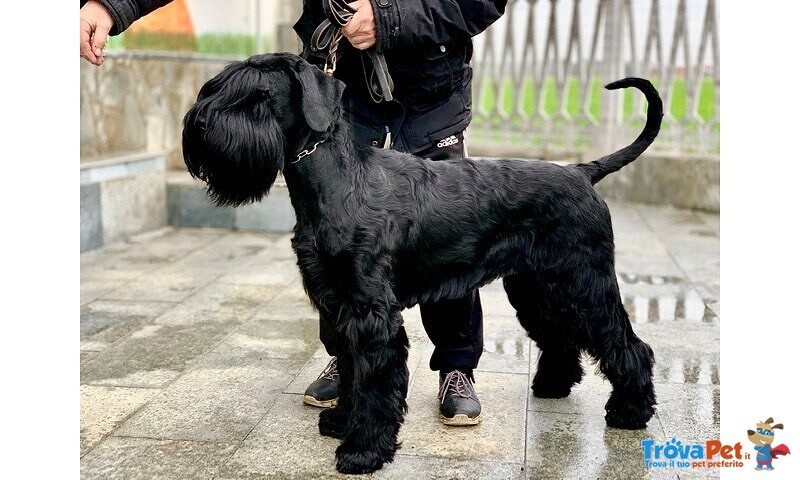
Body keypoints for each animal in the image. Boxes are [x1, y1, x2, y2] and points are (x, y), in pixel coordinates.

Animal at [181, 52, 664, 472]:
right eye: (218, 86)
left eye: (259, 96)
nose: (199, 123)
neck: (336, 180)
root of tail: (582, 172)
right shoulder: (339, 303)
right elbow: (351, 369)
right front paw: (340, 421)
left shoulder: (371, 312)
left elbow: (374, 381)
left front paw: (363, 451)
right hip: (536, 288)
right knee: (561, 336)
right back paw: (552, 386)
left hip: (584, 284)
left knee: (627, 345)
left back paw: (630, 411)